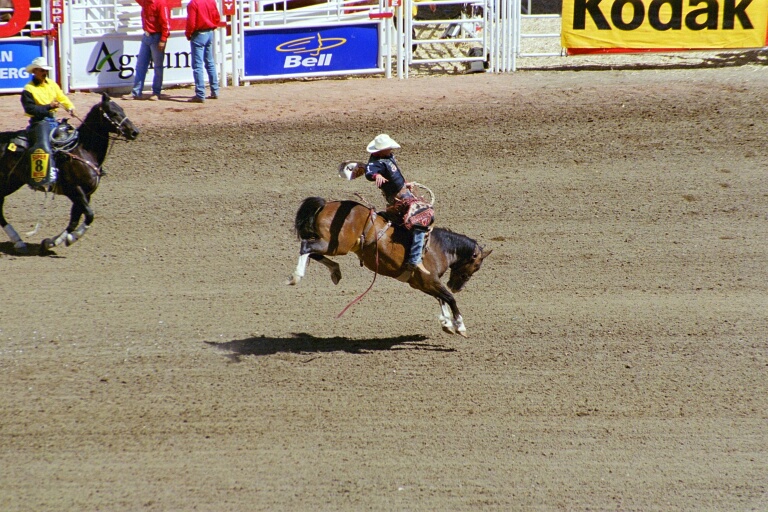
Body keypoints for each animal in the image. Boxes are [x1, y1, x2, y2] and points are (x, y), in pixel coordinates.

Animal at [0, 93, 138, 255]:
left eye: (122, 109)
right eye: (113, 113)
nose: (135, 132)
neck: (82, 151)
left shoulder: (86, 193)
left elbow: (74, 220)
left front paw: (51, 242)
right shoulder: (75, 190)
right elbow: (89, 215)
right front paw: (73, 238)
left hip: (12, 182)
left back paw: (19, 242)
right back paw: (18, 241)